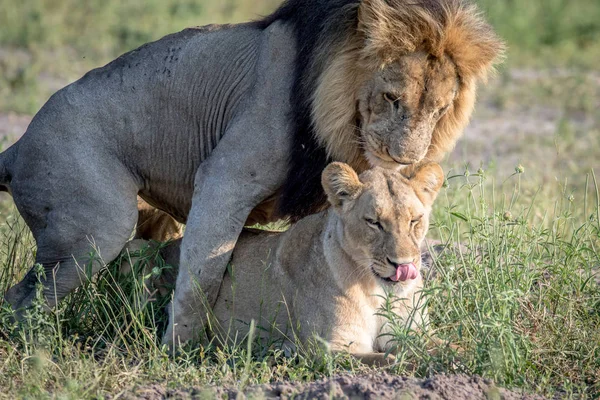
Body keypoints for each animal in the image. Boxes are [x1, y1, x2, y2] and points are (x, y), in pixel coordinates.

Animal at [129, 161, 442, 364]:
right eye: (374, 222)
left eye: (415, 220)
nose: (402, 264)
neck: (377, 291)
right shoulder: (326, 349)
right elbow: (391, 359)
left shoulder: (416, 332)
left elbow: (444, 344)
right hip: (138, 251)